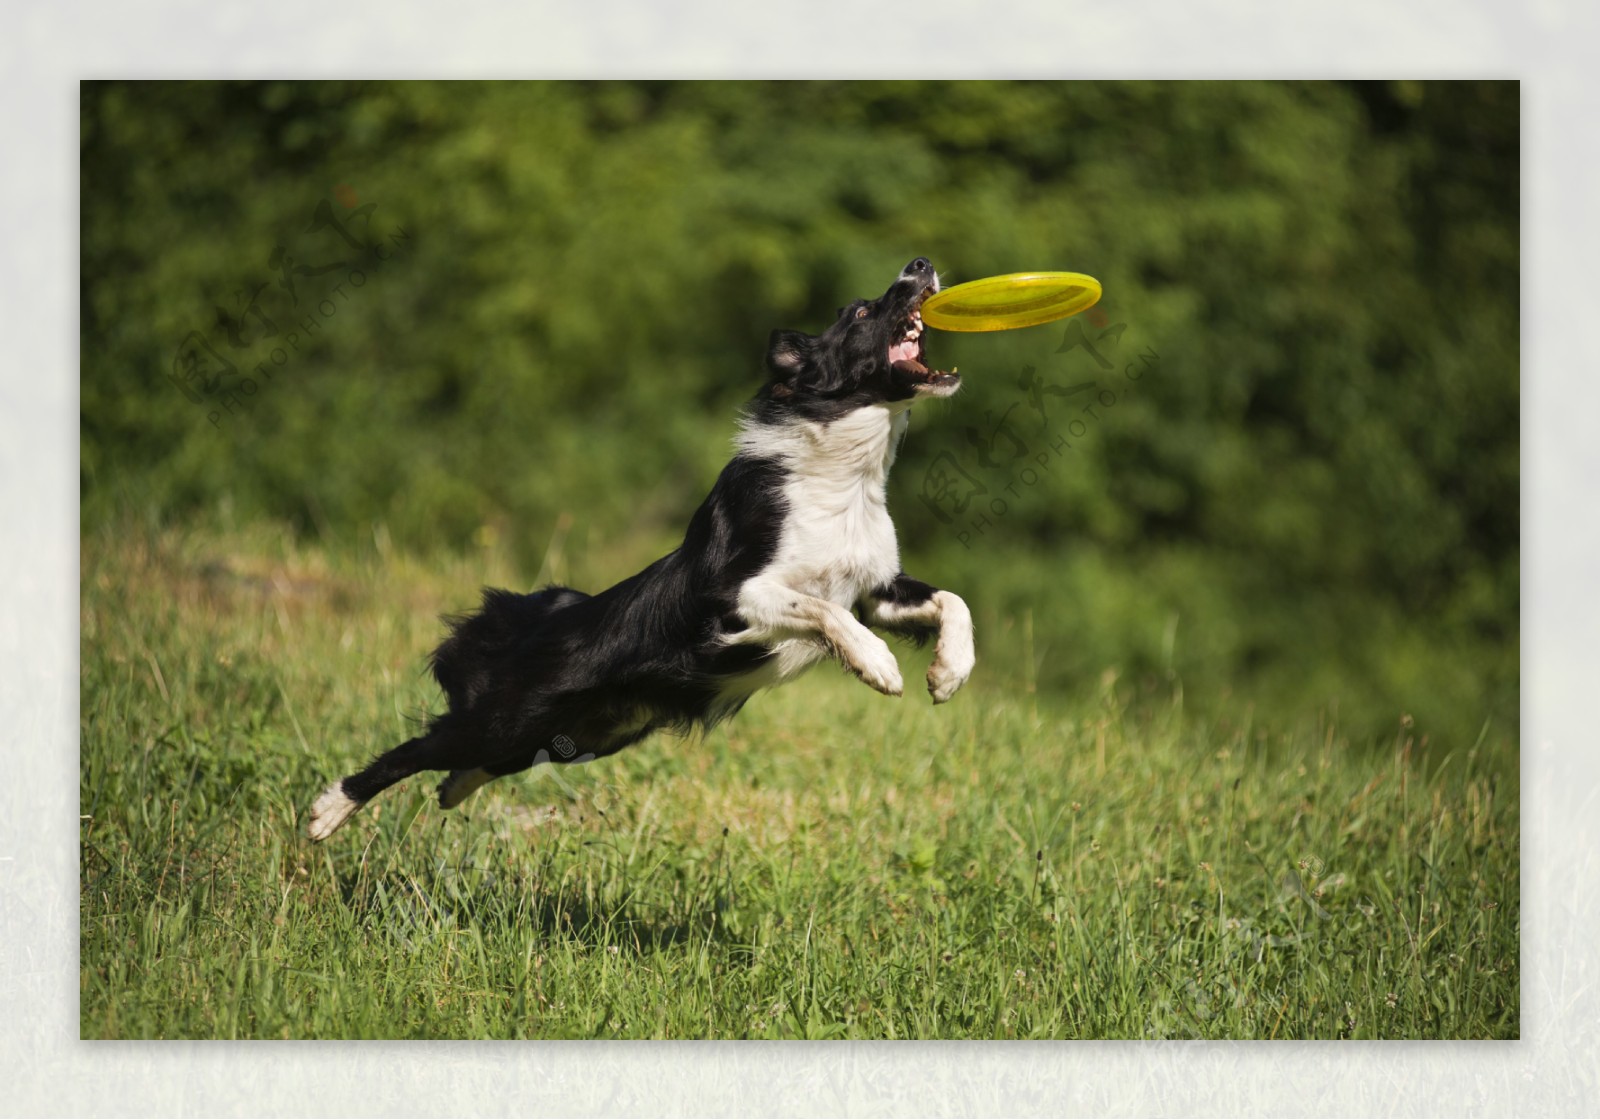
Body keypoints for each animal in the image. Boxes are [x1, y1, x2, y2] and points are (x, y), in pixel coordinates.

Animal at [305, 257, 966, 838]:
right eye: (860, 312)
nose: (920, 264)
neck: (847, 477)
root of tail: (543, 620)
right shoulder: (730, 596)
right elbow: (822, 609)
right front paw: (879, 665)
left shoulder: (874, 591)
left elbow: (951, 602)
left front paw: (948, 675)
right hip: (509, 718)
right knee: (420, 748)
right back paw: (326, 812)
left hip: (584, 737)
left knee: (471, 763)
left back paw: (449, 790)